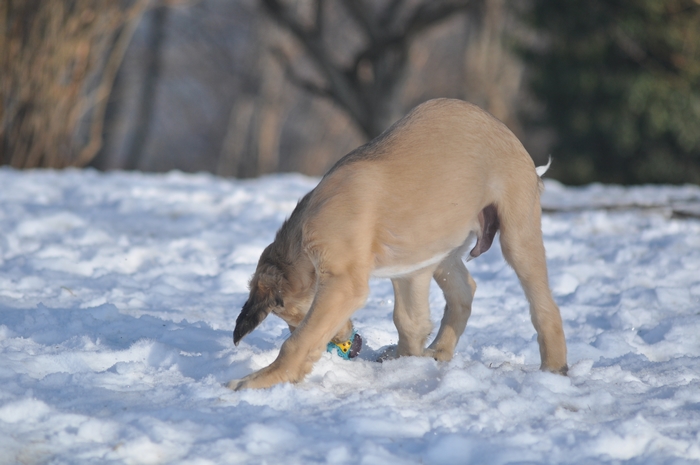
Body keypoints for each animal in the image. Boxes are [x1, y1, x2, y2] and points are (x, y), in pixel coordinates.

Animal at [230, 99, 568, 392]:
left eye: (293, 318)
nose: (352, 345)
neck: (300, 242)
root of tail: (508, 134)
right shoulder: (410, 270)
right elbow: (409, 321)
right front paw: (405, 363)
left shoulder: (345, 283)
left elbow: (300, 340)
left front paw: (261, 379)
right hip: (442, 246)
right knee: (464, 291)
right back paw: (439, 351)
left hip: (517, 235)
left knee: (544, 305)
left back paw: (554, 367)